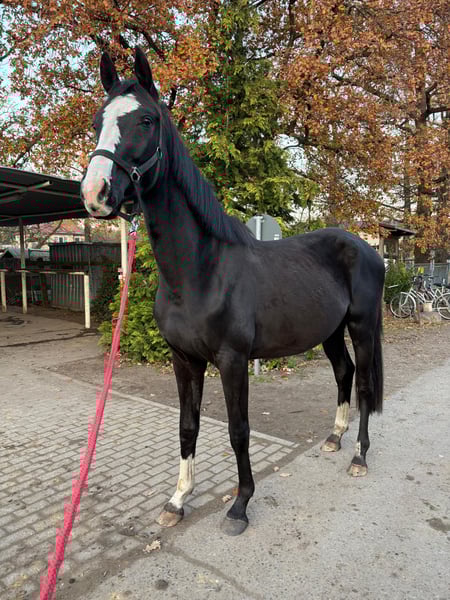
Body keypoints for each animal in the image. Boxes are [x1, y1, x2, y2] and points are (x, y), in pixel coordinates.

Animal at [81, 48, 385, 536]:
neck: (200, 272)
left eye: (146, 119)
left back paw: (358, 455)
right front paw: (177, 500)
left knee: (364, 385)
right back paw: (334, 438)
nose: (95, 192)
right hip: (330, 332)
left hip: (360, 327)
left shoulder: (232, 360)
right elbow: (188, 426)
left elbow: (238, 430)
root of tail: (366, 247)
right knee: (344, 373)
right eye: (97, 121)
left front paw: (240, 505)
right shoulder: (184, 360)